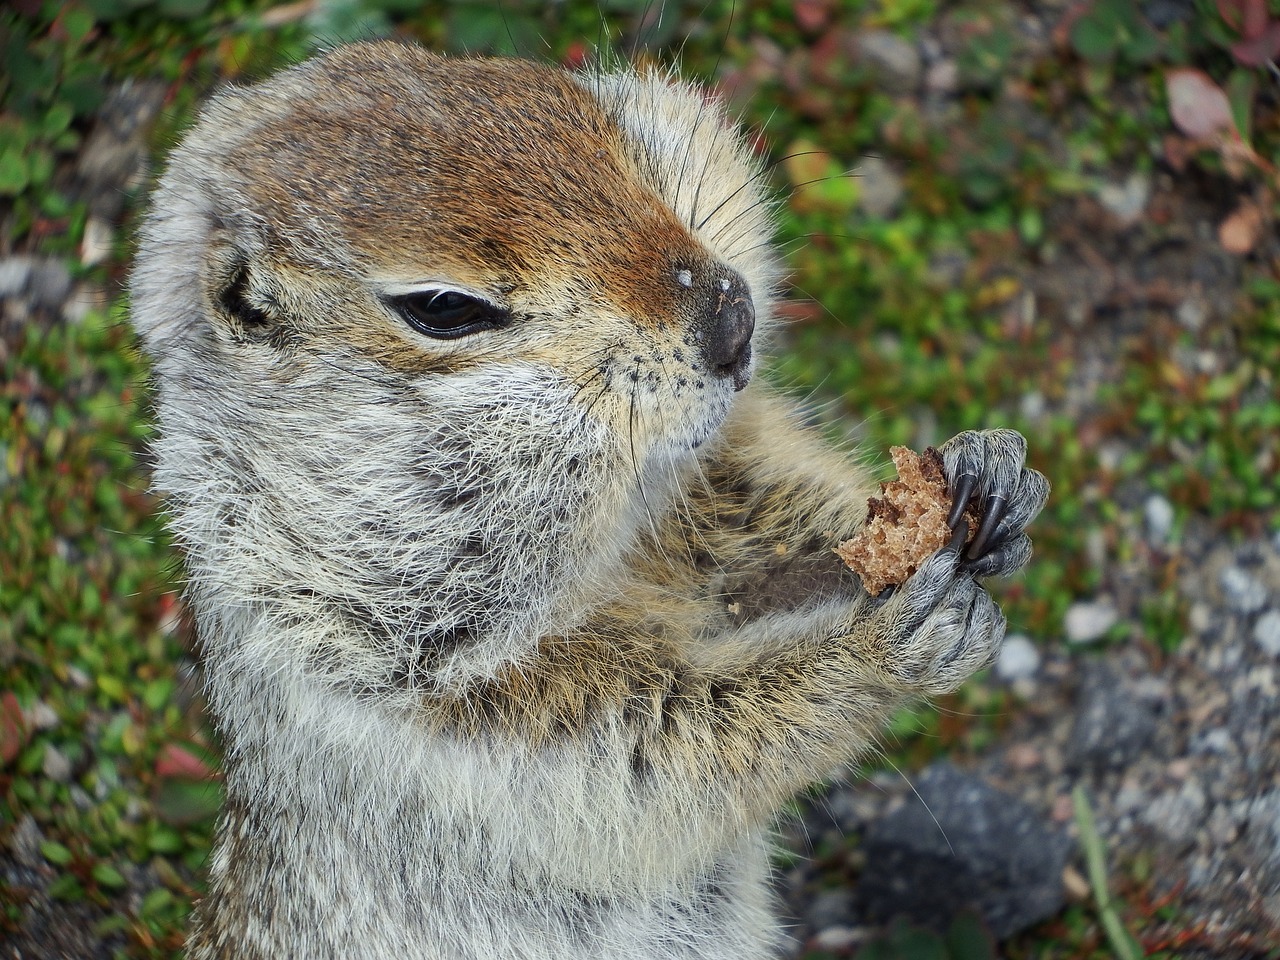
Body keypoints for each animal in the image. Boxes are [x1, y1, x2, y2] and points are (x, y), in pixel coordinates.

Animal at [129, 41, 1049, 960]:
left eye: (610, 136)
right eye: (444, 308)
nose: (735, 319)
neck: (612, 546)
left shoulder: (700, 494)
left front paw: (984, 478)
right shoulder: (412, 700)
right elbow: (659, 750)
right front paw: (886, 642)